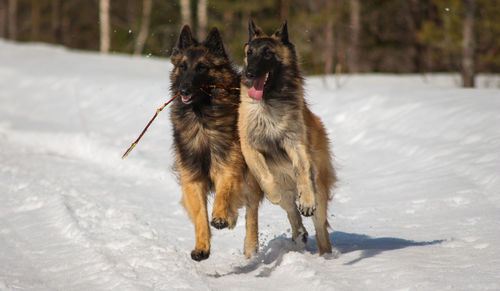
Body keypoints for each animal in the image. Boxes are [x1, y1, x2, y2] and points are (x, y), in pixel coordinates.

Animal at [170, 25, 264, 262]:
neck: (202, 118)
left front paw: (220, 216)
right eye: (183, 67)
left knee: (251, 213)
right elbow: (200, 215)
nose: (184, 90)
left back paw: (249, 247)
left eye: (202, 67)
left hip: (251, 178)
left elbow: (224, 191)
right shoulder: (192, 177)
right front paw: (201, 247)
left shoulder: (228, 164)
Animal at [237, 20, 336, 256]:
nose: (250, 73)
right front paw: (272, 193)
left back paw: (326, 255)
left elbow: (302, 171)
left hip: (320, 188)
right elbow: (264, 175)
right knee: (292, 211)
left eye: (267, 53)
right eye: (249, 53)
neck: (268, 102)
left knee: (320, 228)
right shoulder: (250, 147)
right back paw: (299, 234)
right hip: (286, 191)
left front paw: (306, 200)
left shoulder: (295, 143)